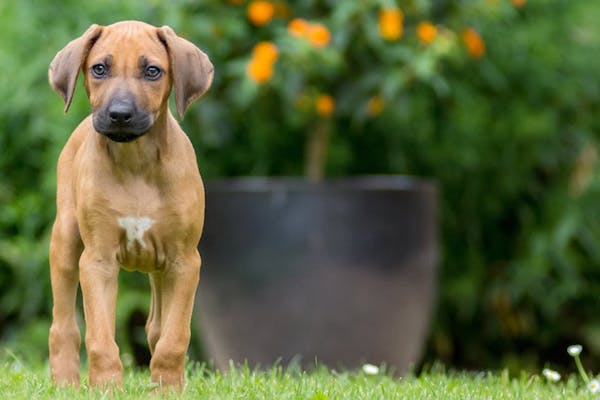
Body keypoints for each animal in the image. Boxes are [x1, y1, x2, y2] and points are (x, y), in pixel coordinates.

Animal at [48, 20, 213, 390]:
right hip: (65, 239)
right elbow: (100, 338)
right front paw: (106, 388)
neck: (135, 161)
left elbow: (174, 338)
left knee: (156, 327)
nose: (119, 115)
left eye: (152, 71)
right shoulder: (97, 261)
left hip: (161, 267)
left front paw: (167, 390)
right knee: (63, 327)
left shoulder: (184, 262)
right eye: (99, 68)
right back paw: (66, 383)